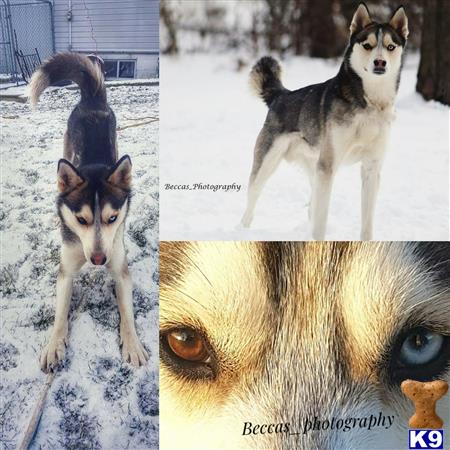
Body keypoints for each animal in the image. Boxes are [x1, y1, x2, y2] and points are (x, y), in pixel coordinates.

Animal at [30, 52, 149, 370]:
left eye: (112, 218)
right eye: (81, 219)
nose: (97, 260)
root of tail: (92, 99)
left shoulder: (119, 265)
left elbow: (127, 312)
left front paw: (132, 344)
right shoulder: (66, 270)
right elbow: (60, 314)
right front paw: (54, 345)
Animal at [241, 3, 410, 241]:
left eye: (391, 46)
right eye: (367, 45)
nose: (380, 62)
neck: (369, 104)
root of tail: (282, 95)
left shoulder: (371, 167)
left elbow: (366, 222)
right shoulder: (328, 166)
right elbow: (321, 219)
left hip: (314, 168)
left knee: (311, 206)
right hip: (269, 164)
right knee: (251, 202)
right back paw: (241, 230)